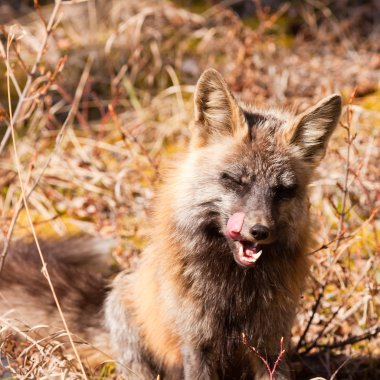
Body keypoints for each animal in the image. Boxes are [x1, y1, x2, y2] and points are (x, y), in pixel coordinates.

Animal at [0, 69, 342, 380]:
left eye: (284, 190)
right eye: (234, 180)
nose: (259, 231)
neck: (234, 293)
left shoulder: (270, 344)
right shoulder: (196, 343)